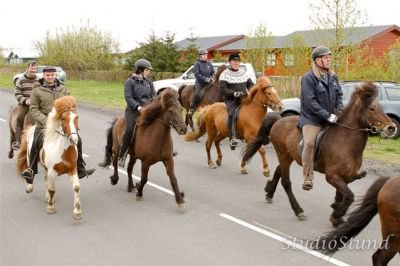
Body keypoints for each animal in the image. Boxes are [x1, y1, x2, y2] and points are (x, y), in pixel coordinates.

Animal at [241, 81, 396, 227]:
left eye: (382, 108)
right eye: (372, 108)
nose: (392, 127)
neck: (345, 141)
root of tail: (280, 120)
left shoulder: (345, 178)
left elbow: (342, 196)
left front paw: (336, 215)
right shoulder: (332, 177)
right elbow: (349, 196)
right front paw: (337, 212)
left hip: (289, 156)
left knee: (279, 171)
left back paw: (269, 192)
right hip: (283, 155)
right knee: (286, 182)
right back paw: (298, 210)